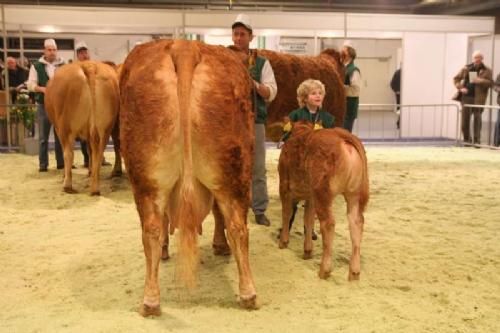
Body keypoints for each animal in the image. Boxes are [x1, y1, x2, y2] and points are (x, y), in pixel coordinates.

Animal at [46, 60, 122, 193]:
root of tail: (88, 65)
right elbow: (90, 150)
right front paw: (90, 171)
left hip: (65, 127)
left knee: (68, 153)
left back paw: (67, 185)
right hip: (105, 128)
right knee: (99, 152)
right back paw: (95, 187)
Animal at [280, 122, 370, 280]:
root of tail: (340, 135)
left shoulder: (284, 187)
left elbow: (287, 214)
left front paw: (283, 241)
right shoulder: (310, 197)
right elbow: (308, 219)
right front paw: (307, 250)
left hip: (323, 192)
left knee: (328, 224)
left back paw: (324, 269)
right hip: (354, 195)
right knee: (356, 222)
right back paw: (354, 272)